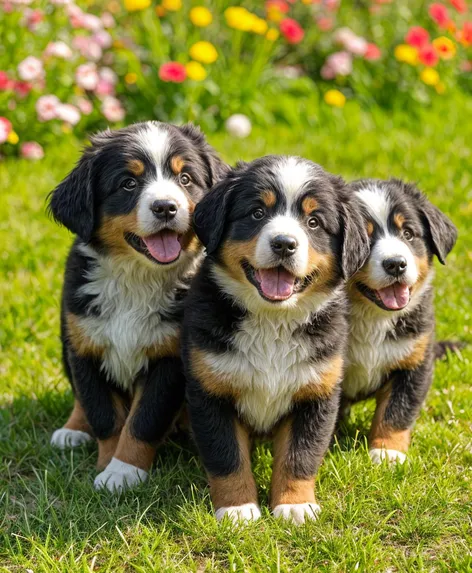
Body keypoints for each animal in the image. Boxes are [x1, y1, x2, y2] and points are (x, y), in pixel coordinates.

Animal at [47, 120, 227, 492]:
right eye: (129, 183)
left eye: (185, 178)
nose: (165, 207)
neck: (137, 278)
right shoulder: (86, 346)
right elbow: (103, 413)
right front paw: (108, 463)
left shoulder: (169, 359)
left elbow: (143, 420)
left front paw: (124, 470)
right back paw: (72, 430)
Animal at [181, 155, 368, 524]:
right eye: (257, 213)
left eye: (313, 222)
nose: (284, 243)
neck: (273, 321)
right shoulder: (210, 391)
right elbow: (227, 456)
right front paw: (237, 508)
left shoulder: (316, 392)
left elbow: (300, 455)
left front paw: (295, 505)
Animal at [342, 178, 458, 464]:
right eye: (365, 238)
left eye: (408, 234)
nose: (395, 264)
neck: (373, 317)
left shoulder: (414, 361)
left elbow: (397, 411)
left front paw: (388, 453)